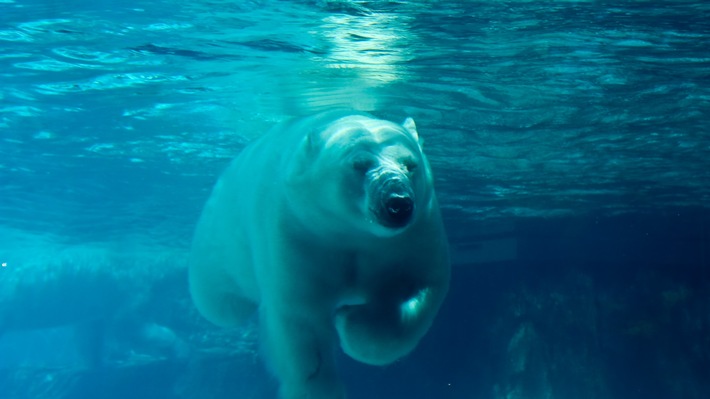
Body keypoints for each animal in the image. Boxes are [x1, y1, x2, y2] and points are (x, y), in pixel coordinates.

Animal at [189, 110, 450, 399]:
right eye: (359, 164)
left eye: (410, 164)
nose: (398, 202)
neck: (350, 231)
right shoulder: (298, 233)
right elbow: (301, 322)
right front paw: (319, 388)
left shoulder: (413, 236)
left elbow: (420, 286)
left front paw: (350, 321)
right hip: (219, 240)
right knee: (220, 303)